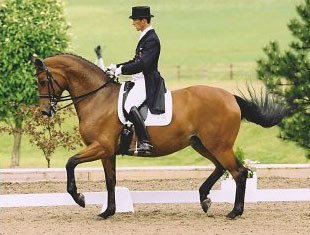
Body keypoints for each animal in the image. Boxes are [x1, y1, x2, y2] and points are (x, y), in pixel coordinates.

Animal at [32, 54, 286, 219]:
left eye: (43, 81)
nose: (45, 112)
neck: (98, 98)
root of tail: (231, 97)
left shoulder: (101, 147)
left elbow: (70, 163)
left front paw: (80, 198)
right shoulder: (107, 151)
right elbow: (110, 180)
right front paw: (107, 212)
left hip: (218, 145)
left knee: (239, 172)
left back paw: (234, 212)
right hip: (201, 144)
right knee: (221, 168)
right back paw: (205, 199)